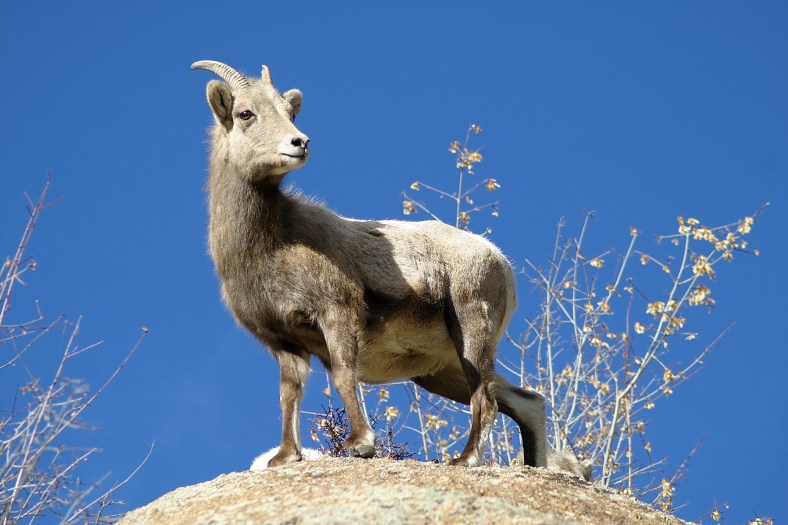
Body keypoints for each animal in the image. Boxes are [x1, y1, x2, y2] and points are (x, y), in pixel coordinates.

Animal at [191, 59, 549, 470]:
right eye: (245, 113)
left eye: (290, 112)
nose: (300, 143)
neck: (269, 247)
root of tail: (500, 261)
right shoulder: (284, 342)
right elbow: (289, 395)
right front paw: (284, 458)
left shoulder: (337, 313)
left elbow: (344, 376)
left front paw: (360, 444)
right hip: (441, 371)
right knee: (525, 403)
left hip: (471, 333)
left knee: (486, 400)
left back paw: (464, 460)